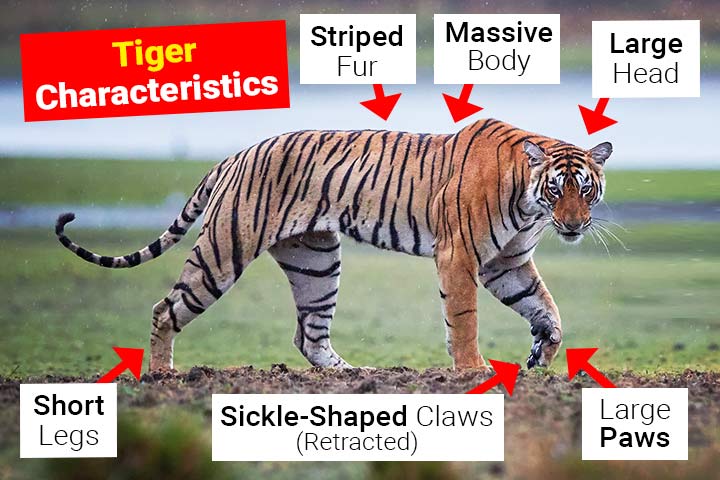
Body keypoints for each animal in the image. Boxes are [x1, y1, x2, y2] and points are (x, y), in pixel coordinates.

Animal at [55, 118, 612, 372]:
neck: (530, 203)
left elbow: (548, 309)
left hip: (317, 261)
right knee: (164, 309)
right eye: (557, 190)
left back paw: (352, 374)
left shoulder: (507, 262)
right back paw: (162, 375)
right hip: (221, 253)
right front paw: (473, 370)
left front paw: (542, 351)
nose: (574, 225)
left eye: (585, 190)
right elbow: (465, 317)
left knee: (309, 336)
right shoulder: (461, 255)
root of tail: (237, 152)